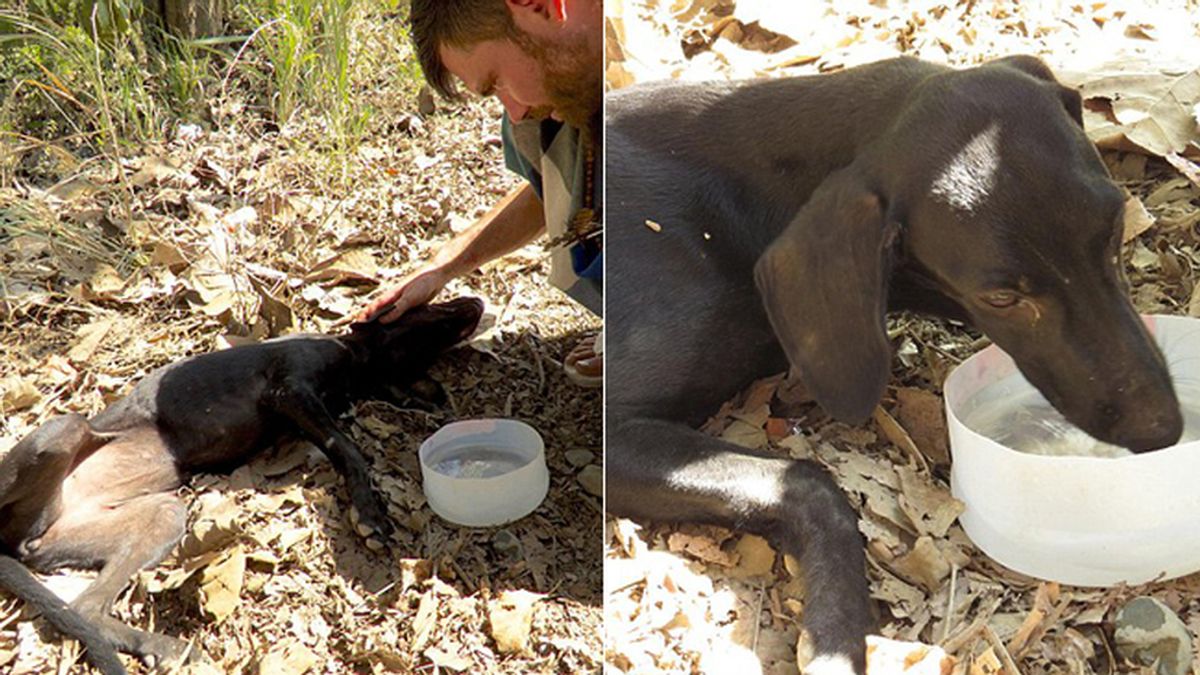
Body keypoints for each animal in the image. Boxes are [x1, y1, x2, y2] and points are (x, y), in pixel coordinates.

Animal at [2, 296, 487, 667]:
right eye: (432, 306)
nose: (477, 301)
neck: (357, 365)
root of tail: (21, 541)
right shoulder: (289, 389)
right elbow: (348, 448)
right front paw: (369, 514)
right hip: (62, 429)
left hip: (161, 515)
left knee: (89, 606)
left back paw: (166, 647)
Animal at [609, 55, 1180, 667]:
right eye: (1002, 298)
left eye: (1116, 230)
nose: (1163, 429)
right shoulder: (616, 430)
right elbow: (809, 482)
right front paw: (836, 634)